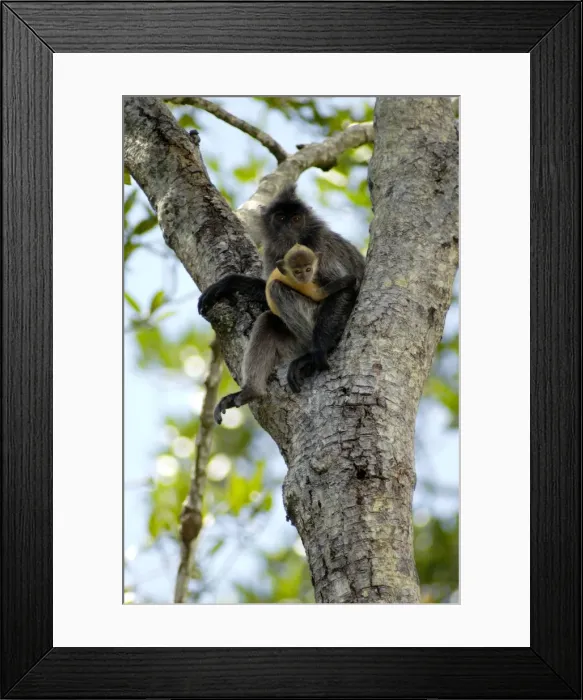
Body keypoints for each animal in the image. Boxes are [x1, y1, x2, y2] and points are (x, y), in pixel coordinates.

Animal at [197, 185, 365, 424]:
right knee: (268, 320)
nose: (288, 231)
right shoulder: (272, 253)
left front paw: (318, 353)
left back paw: (313, 353)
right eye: (281, 218)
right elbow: (266, 293)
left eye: (296, 219)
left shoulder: (319, 247)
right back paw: (250, 392)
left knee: (278, 290)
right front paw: (227, 284)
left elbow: (346, 286)